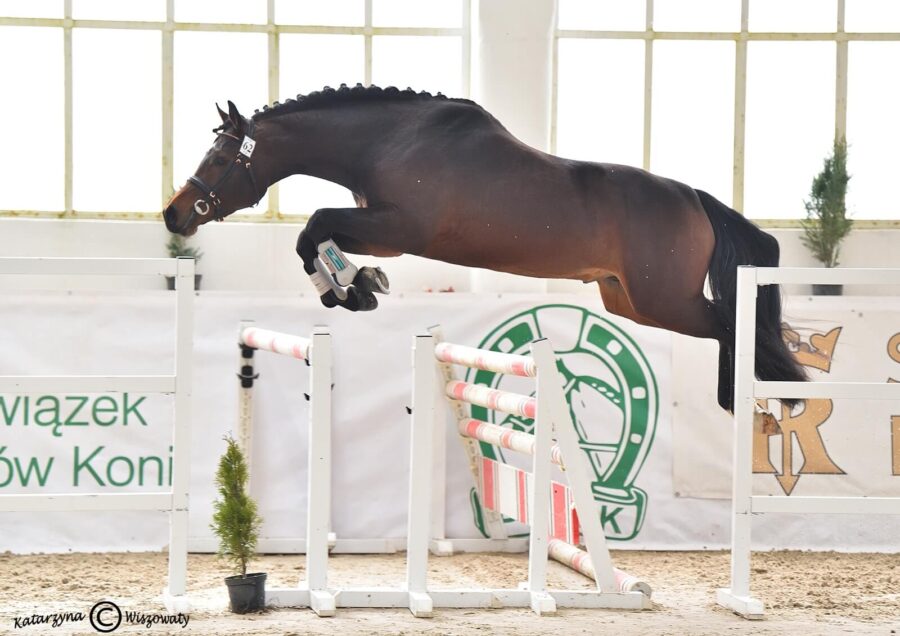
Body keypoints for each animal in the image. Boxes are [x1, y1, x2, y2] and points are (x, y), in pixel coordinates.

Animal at [165, 84, 804, 410]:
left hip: (664, 300)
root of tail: (695, 198)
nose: (174, 212)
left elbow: (313, 227)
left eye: (219, 158)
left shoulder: (401, 227)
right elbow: (319, 235)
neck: (388, 139)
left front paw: (350, 291)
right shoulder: (383, 232)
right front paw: (357, 286)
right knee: (726, 324)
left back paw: (747, 399)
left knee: (731, 323)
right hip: (626, 300)